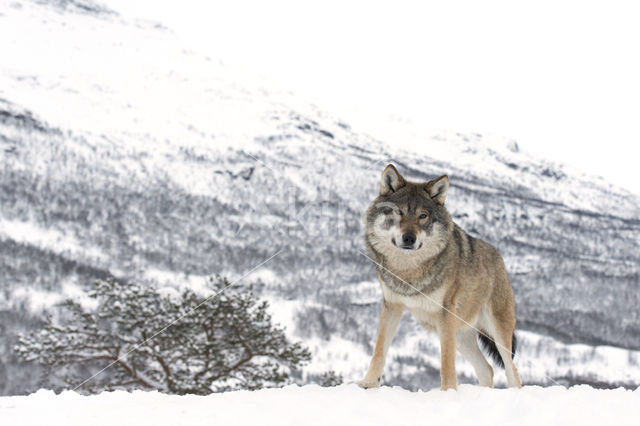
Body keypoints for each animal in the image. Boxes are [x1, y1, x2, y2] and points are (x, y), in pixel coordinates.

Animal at [358, 165, 524, 392]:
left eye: (423, 215)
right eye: (398, 212)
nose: (409, 238)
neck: (408, 271)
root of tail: (499, 256)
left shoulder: (445, 314)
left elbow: (446, 361)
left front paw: (448, 392)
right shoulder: (392, 305)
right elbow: (379, 350)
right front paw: (368, 384)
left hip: (496, 331)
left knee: (511, 370)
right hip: (460, 335)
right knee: (487, 369)